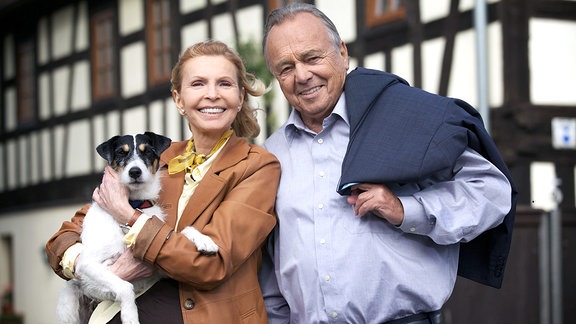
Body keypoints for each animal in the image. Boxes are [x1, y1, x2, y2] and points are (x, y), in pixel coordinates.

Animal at [56, 132, 218, 324]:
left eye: (147, 151)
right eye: (121, 152)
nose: (135, 171)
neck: (135, 204)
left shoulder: (160, 267)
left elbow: (183, 231)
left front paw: (204, 241)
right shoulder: (87, 264)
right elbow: (125, 286)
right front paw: (130, 316)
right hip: (69, 305)